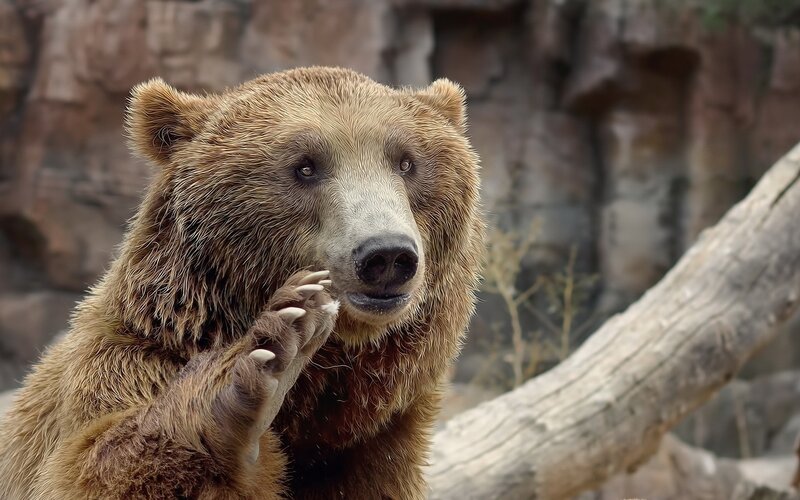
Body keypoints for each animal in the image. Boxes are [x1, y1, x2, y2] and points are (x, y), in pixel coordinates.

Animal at [0, 66, 484, 499]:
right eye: (304, 167)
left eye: (406, 161)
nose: (385, 255)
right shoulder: (121, 365)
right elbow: (93, 468)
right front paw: (264, 360)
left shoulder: (380, 442)